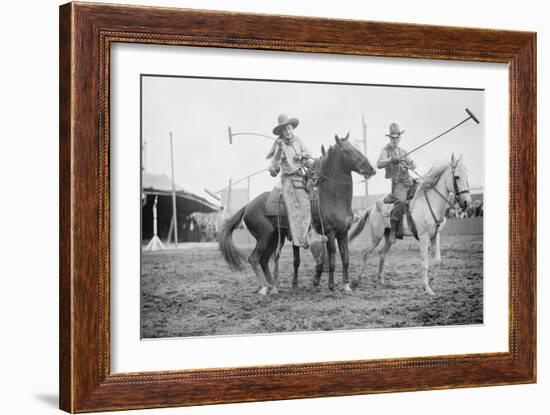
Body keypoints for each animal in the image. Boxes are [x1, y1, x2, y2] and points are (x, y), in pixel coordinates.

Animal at [219, 135, 376, 294]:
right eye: (347, 150)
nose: (371, 169)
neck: (332, 196)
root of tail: (247, 206)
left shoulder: (343, 233)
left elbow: (346, 259)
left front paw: (346, 285)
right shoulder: (330, 233)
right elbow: (332, 259)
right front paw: (331, 286)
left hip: (274, 238)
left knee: (264, 260)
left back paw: (272, 286)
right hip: (264, 237)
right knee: (254, 258)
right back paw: (264, 287)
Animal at [352, 155, 472, 296]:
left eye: (467, 176)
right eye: (457, 177)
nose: (467, 202)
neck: (431, 202)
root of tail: (372, 207)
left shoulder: (435, 235)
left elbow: (438, 260)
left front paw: (431, 280)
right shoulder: (423, 237)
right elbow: (425, 263)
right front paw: (427, 288)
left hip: (388, 236)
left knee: (382, 254)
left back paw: (381, 280)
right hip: (376, 236)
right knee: (366, 253)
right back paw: (356, 281)